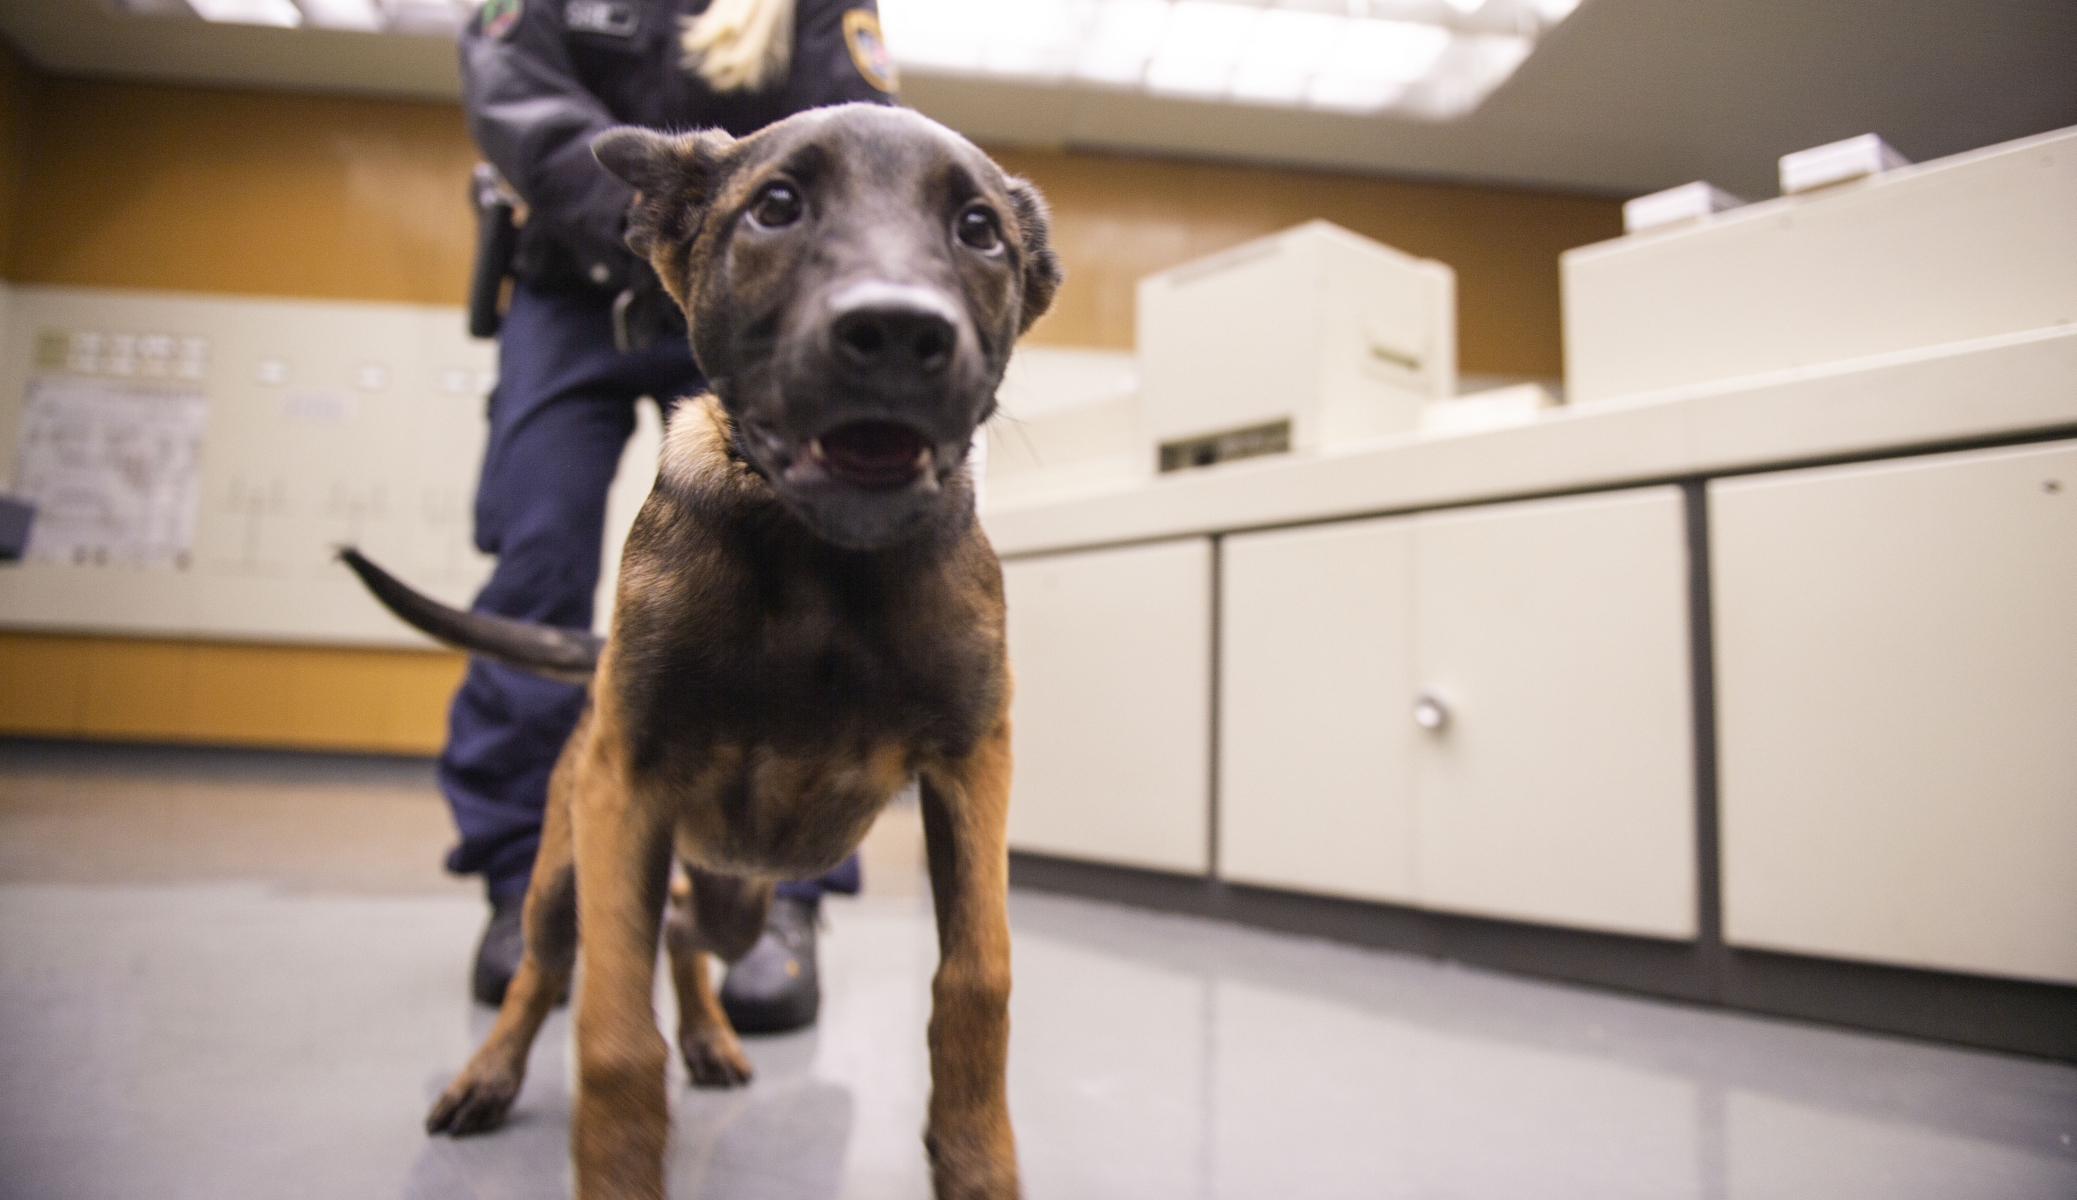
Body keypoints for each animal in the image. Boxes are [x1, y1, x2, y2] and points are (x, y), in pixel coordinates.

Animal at [348, 102, 1063, 1195]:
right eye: (777, 206)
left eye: (979, 230)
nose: (899, 332)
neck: (821, 563)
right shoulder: (627, 781)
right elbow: (611, 1030)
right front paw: (617, 1167)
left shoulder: (972, 765)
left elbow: (978, 975)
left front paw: (976, 1160)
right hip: (572, 857)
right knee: (552, 963)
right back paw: (489, 1075)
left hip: (742, 882)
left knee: (687, 930)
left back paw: (712, 1035)